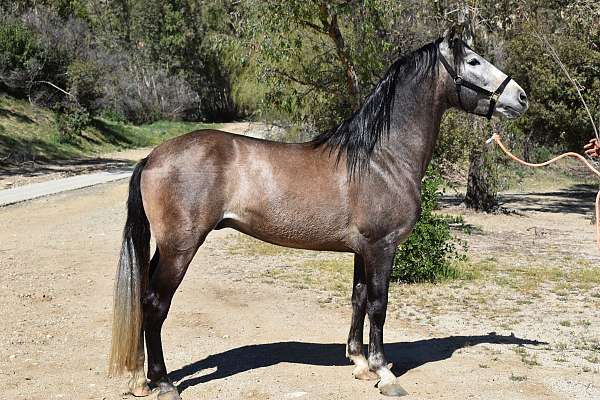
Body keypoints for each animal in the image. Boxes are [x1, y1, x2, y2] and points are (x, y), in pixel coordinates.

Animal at [106, 27, 524, 396]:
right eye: (473, 60)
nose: (520, 97)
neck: (381, 160)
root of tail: (153, 157)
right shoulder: (382, 247)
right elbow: (379, 305)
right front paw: (384, 372)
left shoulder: (362, 250)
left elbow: (358, 298)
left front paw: (359, 362)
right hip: (180, 248)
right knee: (155, 305)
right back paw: (162, 382)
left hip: (166, 247)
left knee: (144, 300)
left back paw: (141, 380)